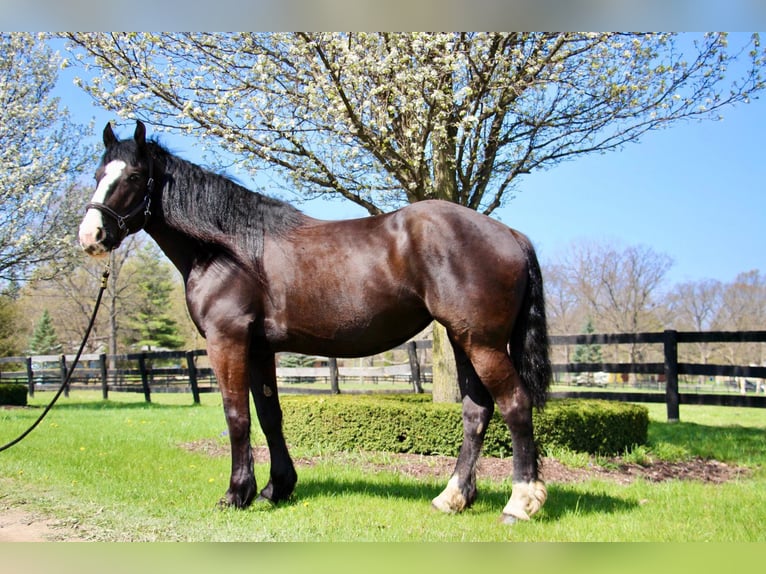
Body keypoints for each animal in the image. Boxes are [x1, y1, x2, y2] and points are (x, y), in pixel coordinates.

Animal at [78, 121, 552, 528]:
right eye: (100, 173)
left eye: (134, 175)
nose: (91, 236)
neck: (228, 249)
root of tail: (510, 234)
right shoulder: (259, 348)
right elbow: (269, 415)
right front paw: (276, 488)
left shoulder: (227, 340)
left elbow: (236, 415)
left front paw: (236, 494)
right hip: (461, 339)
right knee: (477, 410)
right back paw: (453, 497)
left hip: (482, 343)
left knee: (514, 404)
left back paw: (520, 502)